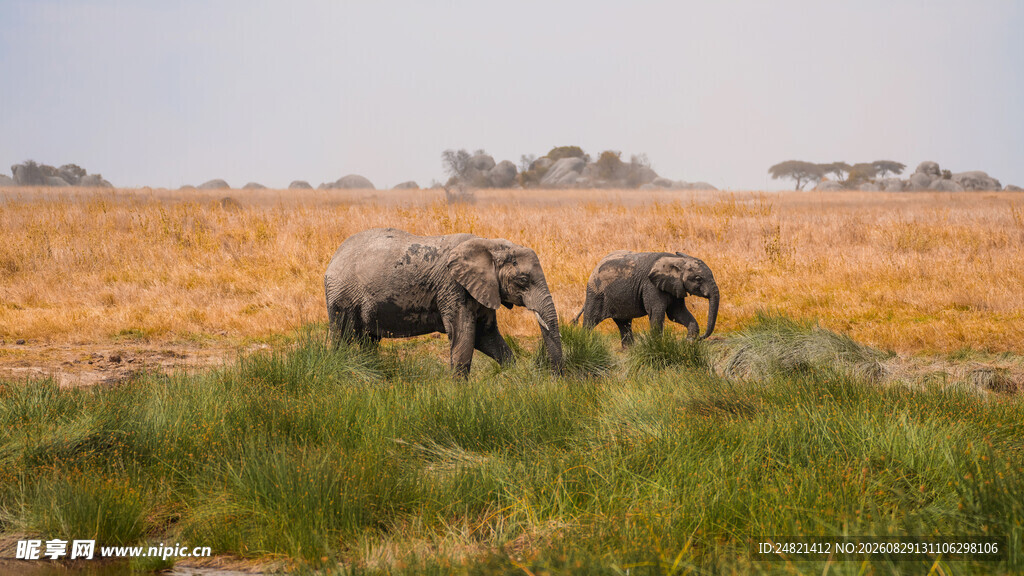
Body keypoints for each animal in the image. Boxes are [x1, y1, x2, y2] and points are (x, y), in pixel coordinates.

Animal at [324, 228, 563, 376]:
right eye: (523, 280)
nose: (556, 380)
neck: (489, 244)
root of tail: (334, 257)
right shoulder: (453, 287)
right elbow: (464, 335)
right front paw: (459, 394)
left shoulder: (482, 289)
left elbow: (486, 336)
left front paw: (514, 376)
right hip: (341, 295)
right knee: (343, 336)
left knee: (369, 340)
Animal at [572, 251, 719, 347]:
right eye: (698, 279)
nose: (700, 338)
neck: (676, 260)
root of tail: (595, 267)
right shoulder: (651, 285)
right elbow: (657, 313)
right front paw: (658, 346)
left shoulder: (675, 286)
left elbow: (677, 313)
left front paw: (689, 342)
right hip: (595, 293)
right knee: (591, 320)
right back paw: (585, 344)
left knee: (624, 323)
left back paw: (630, 351)